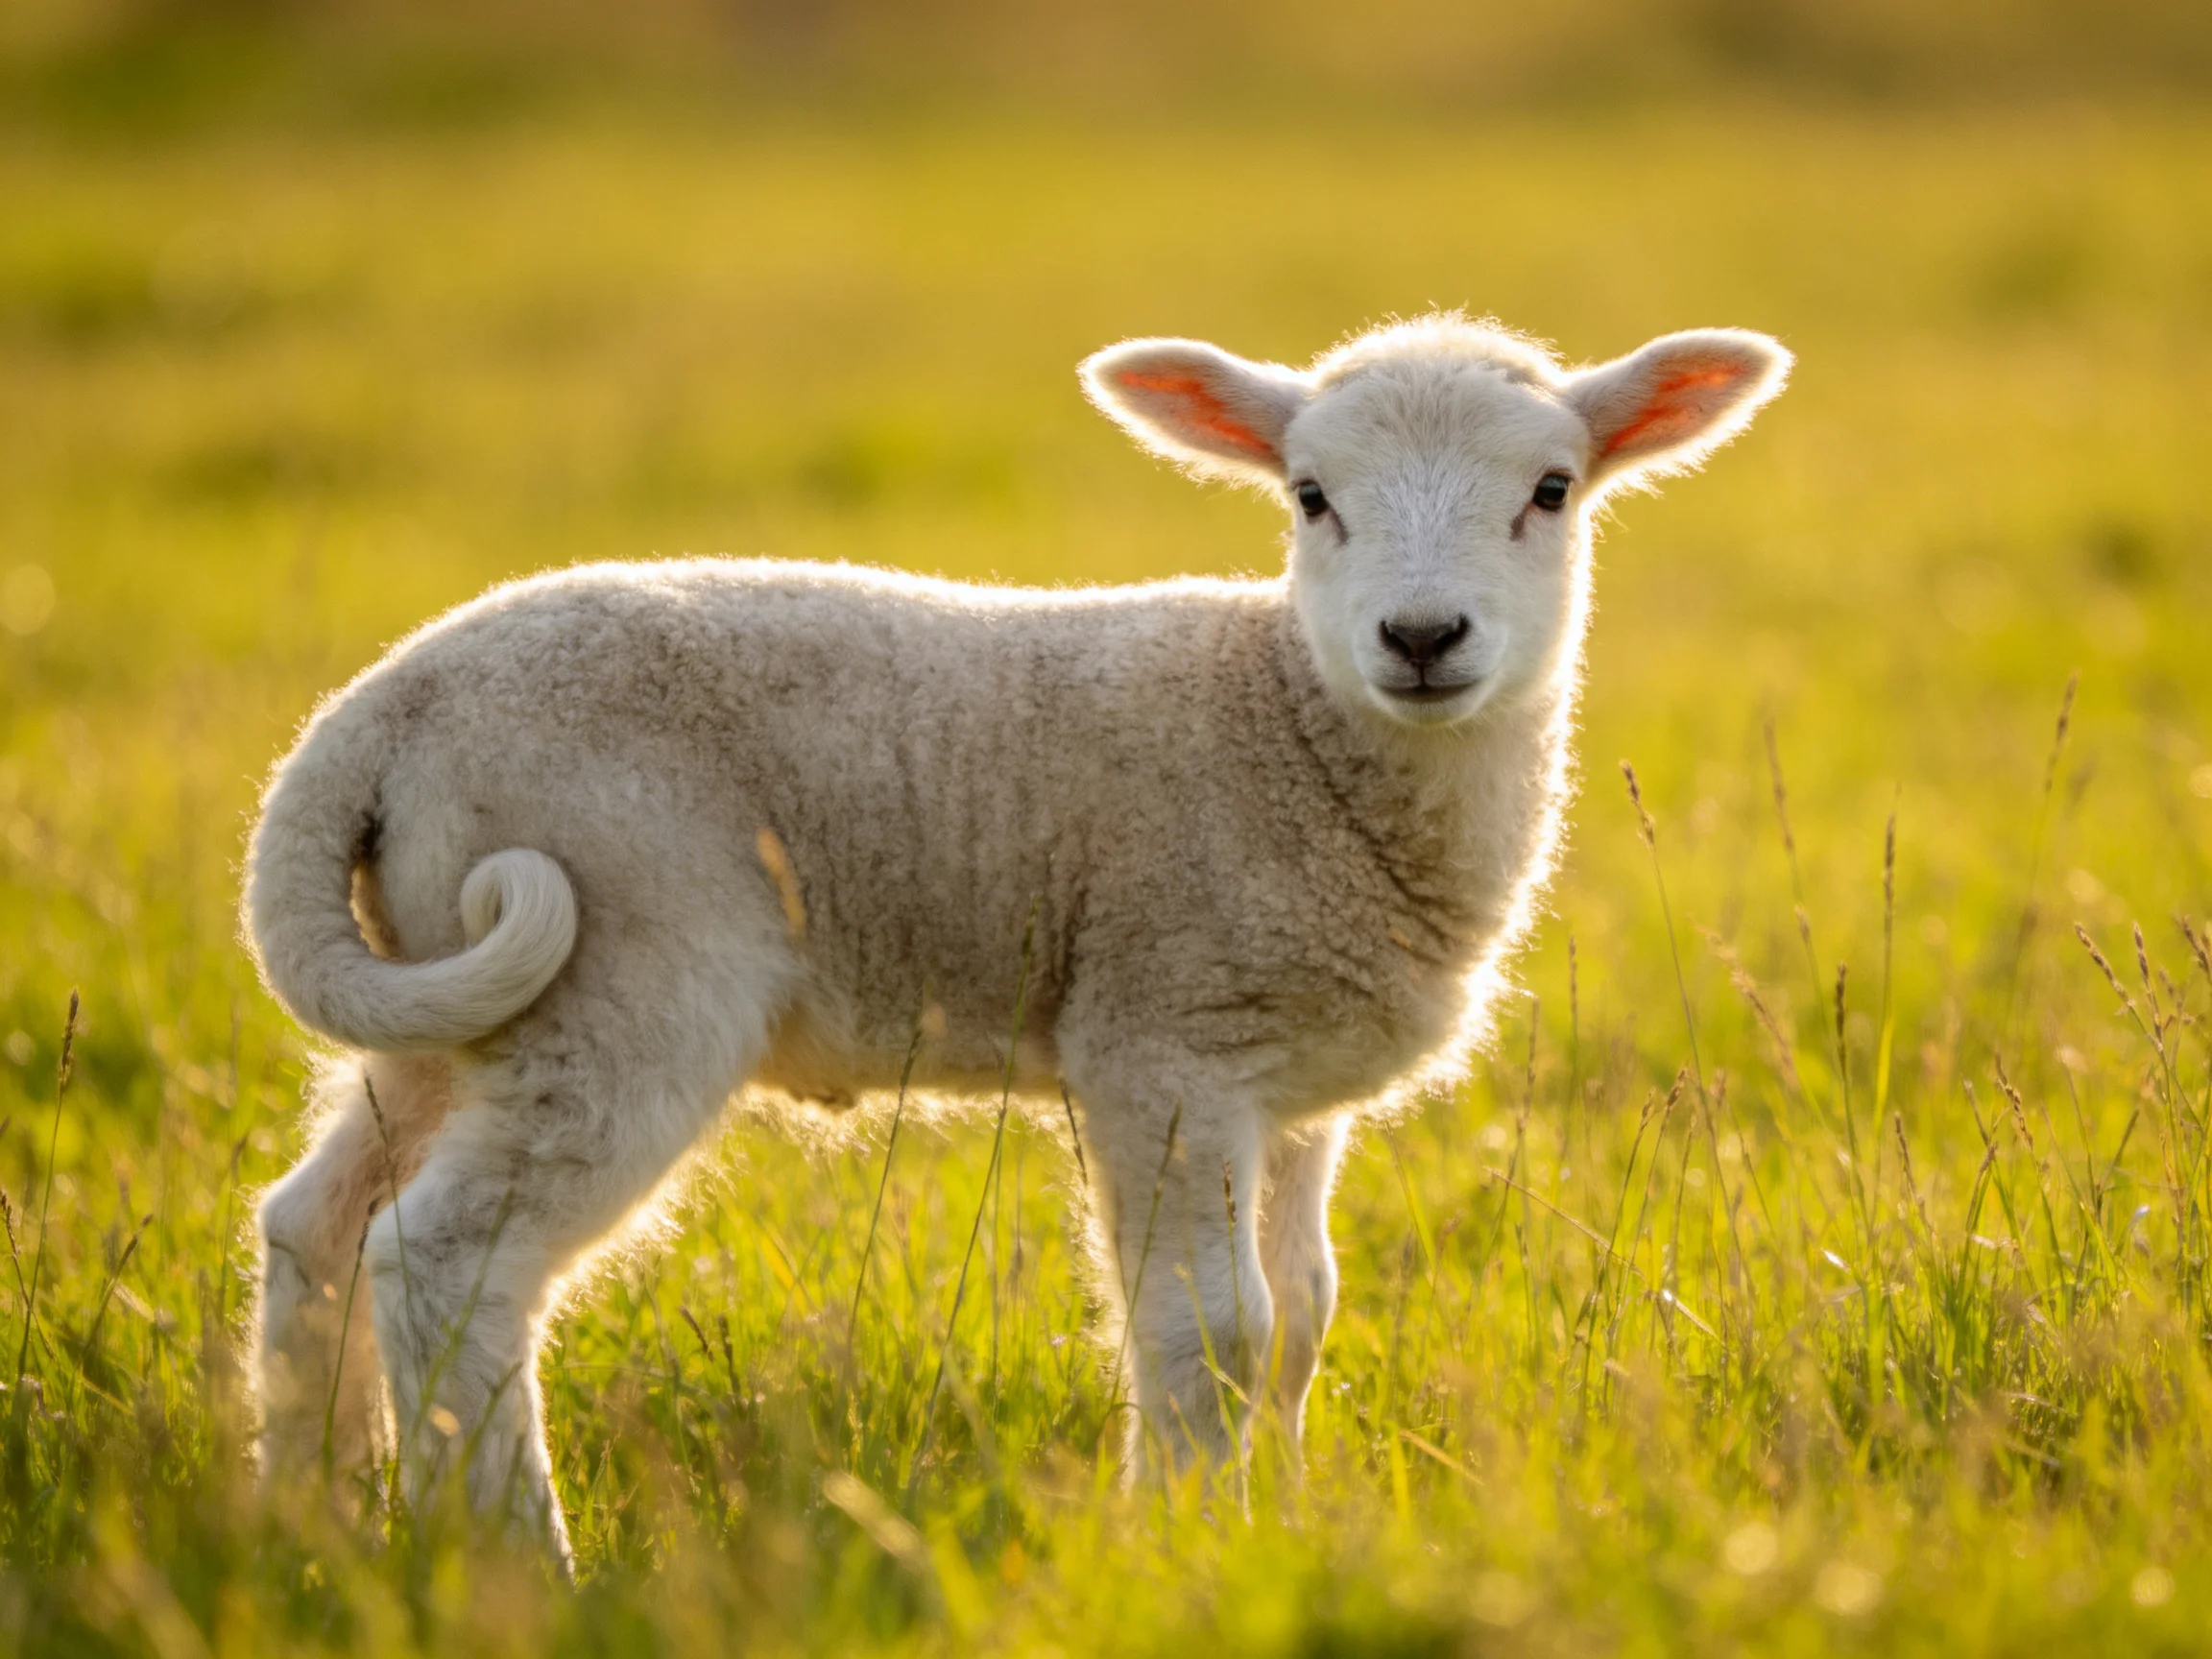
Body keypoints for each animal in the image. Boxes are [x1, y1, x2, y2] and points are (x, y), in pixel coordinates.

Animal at [244, 313, 1789, 1561]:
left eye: (1551, 490)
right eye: (1310, 497)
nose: (1421, 638)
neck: (1291, 726)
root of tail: (377, 710)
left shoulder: (1287, 1084)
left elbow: (1300, 1320)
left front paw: (1282, 1523)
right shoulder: (1165, 1034)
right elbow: (1210, 1330)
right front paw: (1183, 1545)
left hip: (446, 1000)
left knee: (319, 1227)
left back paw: (314, 1523)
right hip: (616, 966)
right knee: (447, 1259)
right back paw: (515, 1561)